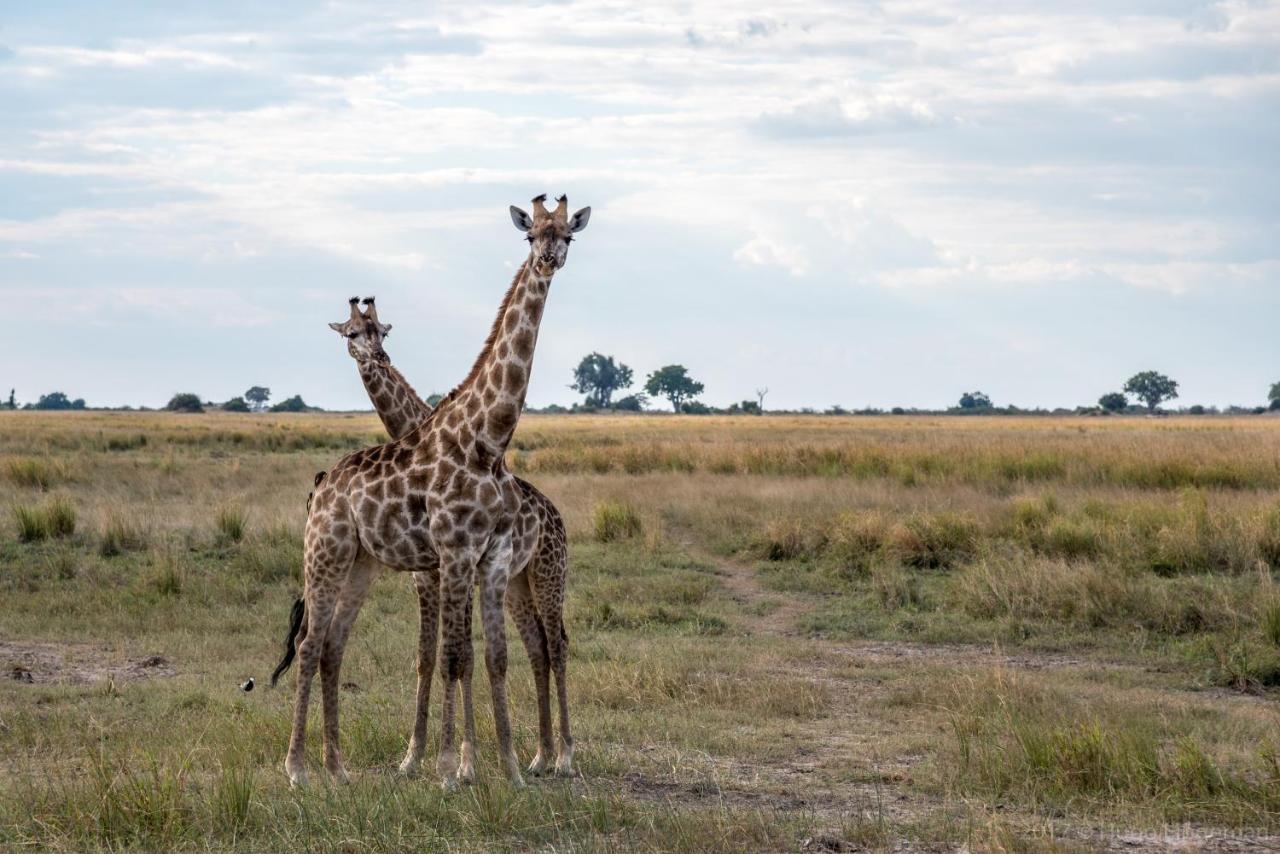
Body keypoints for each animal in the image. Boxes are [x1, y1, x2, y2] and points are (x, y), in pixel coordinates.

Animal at [325, 297, 576, 778]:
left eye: (381, 331)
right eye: (351, 333)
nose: (377, 357)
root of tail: (557, 518)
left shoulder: (452, 570)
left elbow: (459, 658)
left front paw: (462, 763)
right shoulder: (429, 575)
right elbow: (432, 657)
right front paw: (417, 758)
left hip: (548, 574)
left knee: (557, 646)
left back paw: (565, 757)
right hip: (517, 584)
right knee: (537, 646)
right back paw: (539, 756)